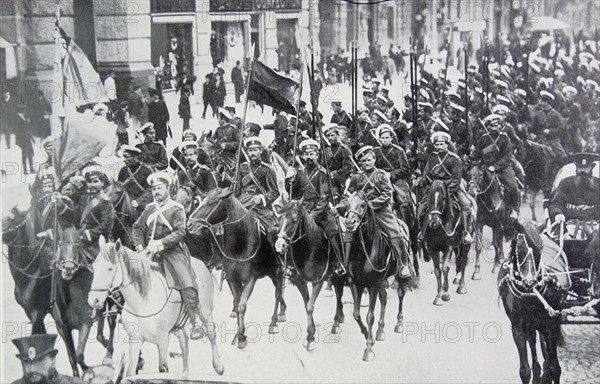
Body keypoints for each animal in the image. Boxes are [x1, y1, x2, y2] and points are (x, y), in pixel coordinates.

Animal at [86, 237, 223, 378]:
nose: (94, 300)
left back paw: (218, 366)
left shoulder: (162, 340)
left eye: (110, 268)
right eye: (94, 266)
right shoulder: (135, 340)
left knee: (211, 335)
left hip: (205, 312)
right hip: (178, 326)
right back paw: (185, 373)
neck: (142, 302)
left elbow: (163, 369)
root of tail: (202, 264)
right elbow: (130, 372)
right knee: (184, 343)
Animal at [188, 188, 286, 350]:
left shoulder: (250, 279)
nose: (189, 225)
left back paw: (274, 322)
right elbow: (237, 300)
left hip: (277, 271)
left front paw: (241, 337)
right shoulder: (233, 278)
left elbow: (242, 306)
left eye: (211, 202)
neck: (240, 244)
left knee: (278, 293)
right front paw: (238, 334)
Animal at [274, 200, 336, 352]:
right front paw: (311, 333)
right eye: (280, 219)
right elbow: (306, 303)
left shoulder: (318, 281)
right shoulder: (300, 281)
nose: (279, 245)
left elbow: (310, 307)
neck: (311, 249)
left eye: (294, 220)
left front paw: (310, 339)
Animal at [340, 194, 414, 362]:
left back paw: (399, 323)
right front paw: (370, 337)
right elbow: (356, 314)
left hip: (398, 276)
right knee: (384, 298)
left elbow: (369, 316)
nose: (350, 223)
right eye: (347, 204)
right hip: (382, 280)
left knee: (400, 294)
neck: (364, 248)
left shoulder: (372, 284)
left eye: (362, 204)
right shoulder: (356, 284)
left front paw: (368, 349)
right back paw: (380, 331)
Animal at [500, 220, 564, 382]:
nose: (530, 281)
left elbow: (555, 368)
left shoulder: (551, 325)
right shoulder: (518, 328)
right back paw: (537, 369)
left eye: (539, 249)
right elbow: (524, 371)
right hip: (530, 325)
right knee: (533, 340)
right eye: (520, 249)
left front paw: (549, 369)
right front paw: (533, 371)